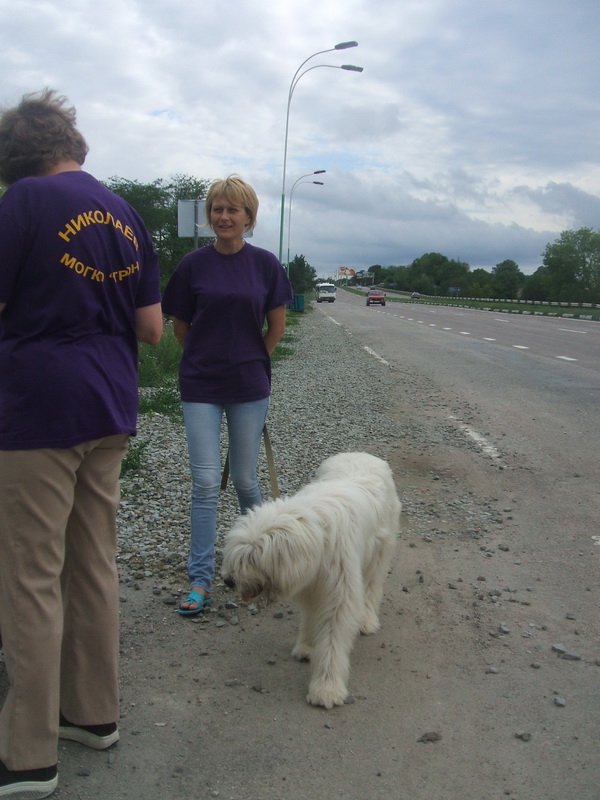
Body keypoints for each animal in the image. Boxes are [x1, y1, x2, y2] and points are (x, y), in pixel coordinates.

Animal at [221, 452, 401, 708]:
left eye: (253, 558)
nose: (229, 581)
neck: (316, 532)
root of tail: (362, 453)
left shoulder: (338, 592)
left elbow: (333, 641)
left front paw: (326, 689)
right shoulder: (310, 584)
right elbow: (311, 617)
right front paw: (307, 647)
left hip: (378, 553)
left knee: (371, 588)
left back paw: (367, 620)